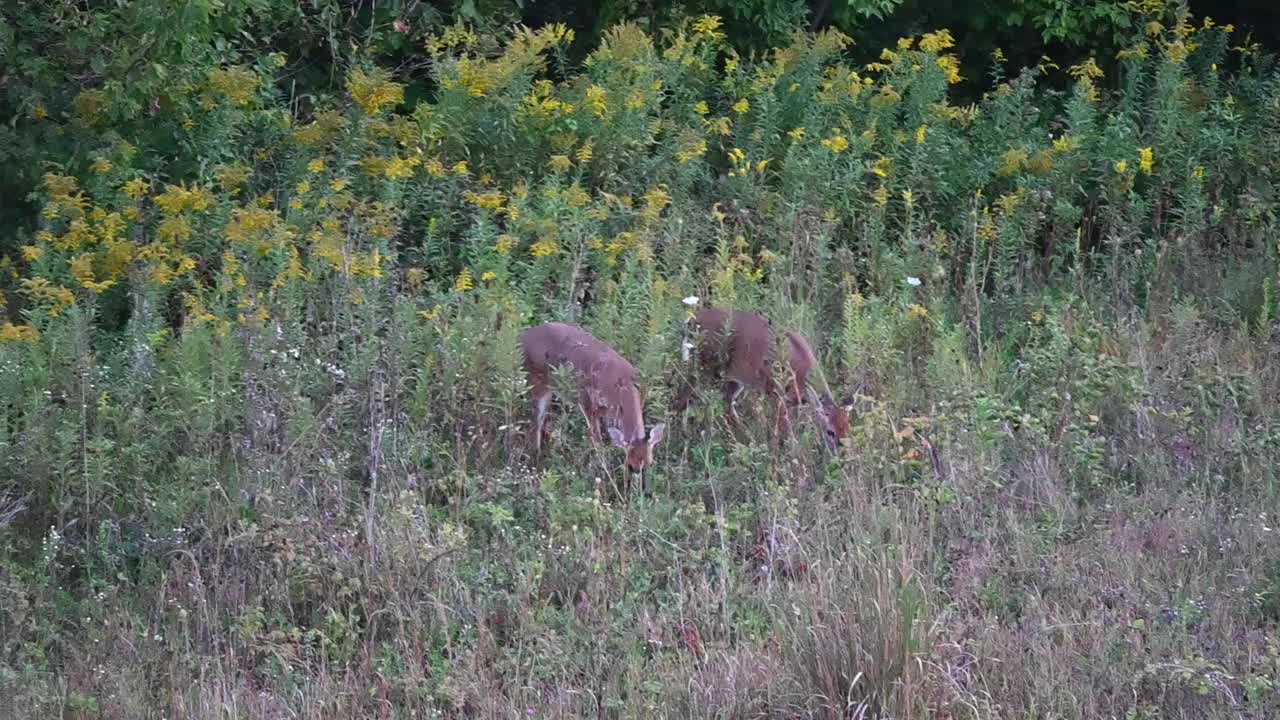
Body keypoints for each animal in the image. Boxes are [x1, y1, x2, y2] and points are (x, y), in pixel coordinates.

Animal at [517, 319, 665, 471]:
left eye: (649, 464)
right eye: (630, 466)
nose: (637, 474)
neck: (623, 388)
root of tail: (522, 337)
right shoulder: (586, 399)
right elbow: (596, 438)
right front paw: (601, 464)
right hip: (537, 383)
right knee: (535, 422)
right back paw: (536, 457)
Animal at [675, 304, 855, 450]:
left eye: (848, 428)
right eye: (830, 431)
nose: (843, 450)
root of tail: (690, 321)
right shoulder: (774, 392)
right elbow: (783, 430)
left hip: (734, 377)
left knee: (726, 403)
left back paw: (744, 438)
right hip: (702, 365)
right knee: (682, 397)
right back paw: (683, 437)